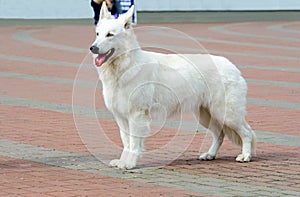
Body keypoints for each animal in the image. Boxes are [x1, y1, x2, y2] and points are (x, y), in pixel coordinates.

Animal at [89, 4, 255, 169]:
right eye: (98, 34)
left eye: (110, 35)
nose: (93, 48)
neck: (125, 66)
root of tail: (232, 66)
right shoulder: (121, 117)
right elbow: (126, 142)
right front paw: (123, 161)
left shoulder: (137, 115)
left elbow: (134, 143)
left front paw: (129, 163)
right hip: (207, 115)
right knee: (219, 134)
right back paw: (210, 154)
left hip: (227, 114)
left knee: (247, 133)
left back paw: (245, 156)